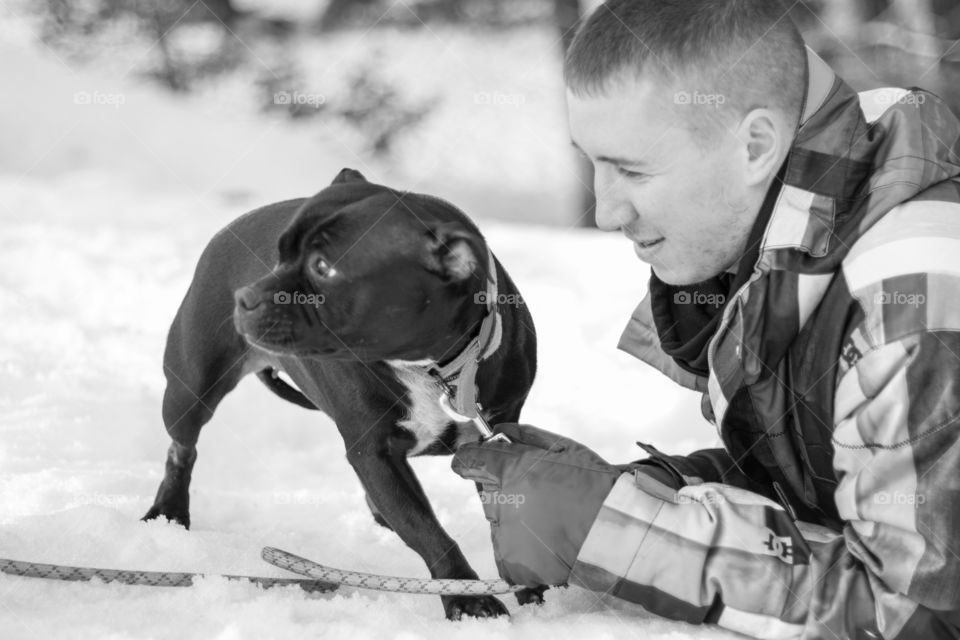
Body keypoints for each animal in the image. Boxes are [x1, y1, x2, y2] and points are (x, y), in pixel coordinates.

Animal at [147, 168, 544, 616]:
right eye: (279, 254)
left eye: (323, 267)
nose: (245, 296)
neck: (436, 365)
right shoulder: (373, 454)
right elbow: (428, 532)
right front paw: (466, 596)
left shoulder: (496, 438)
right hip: (189, 391)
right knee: (182, 447)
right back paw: (169, 512)